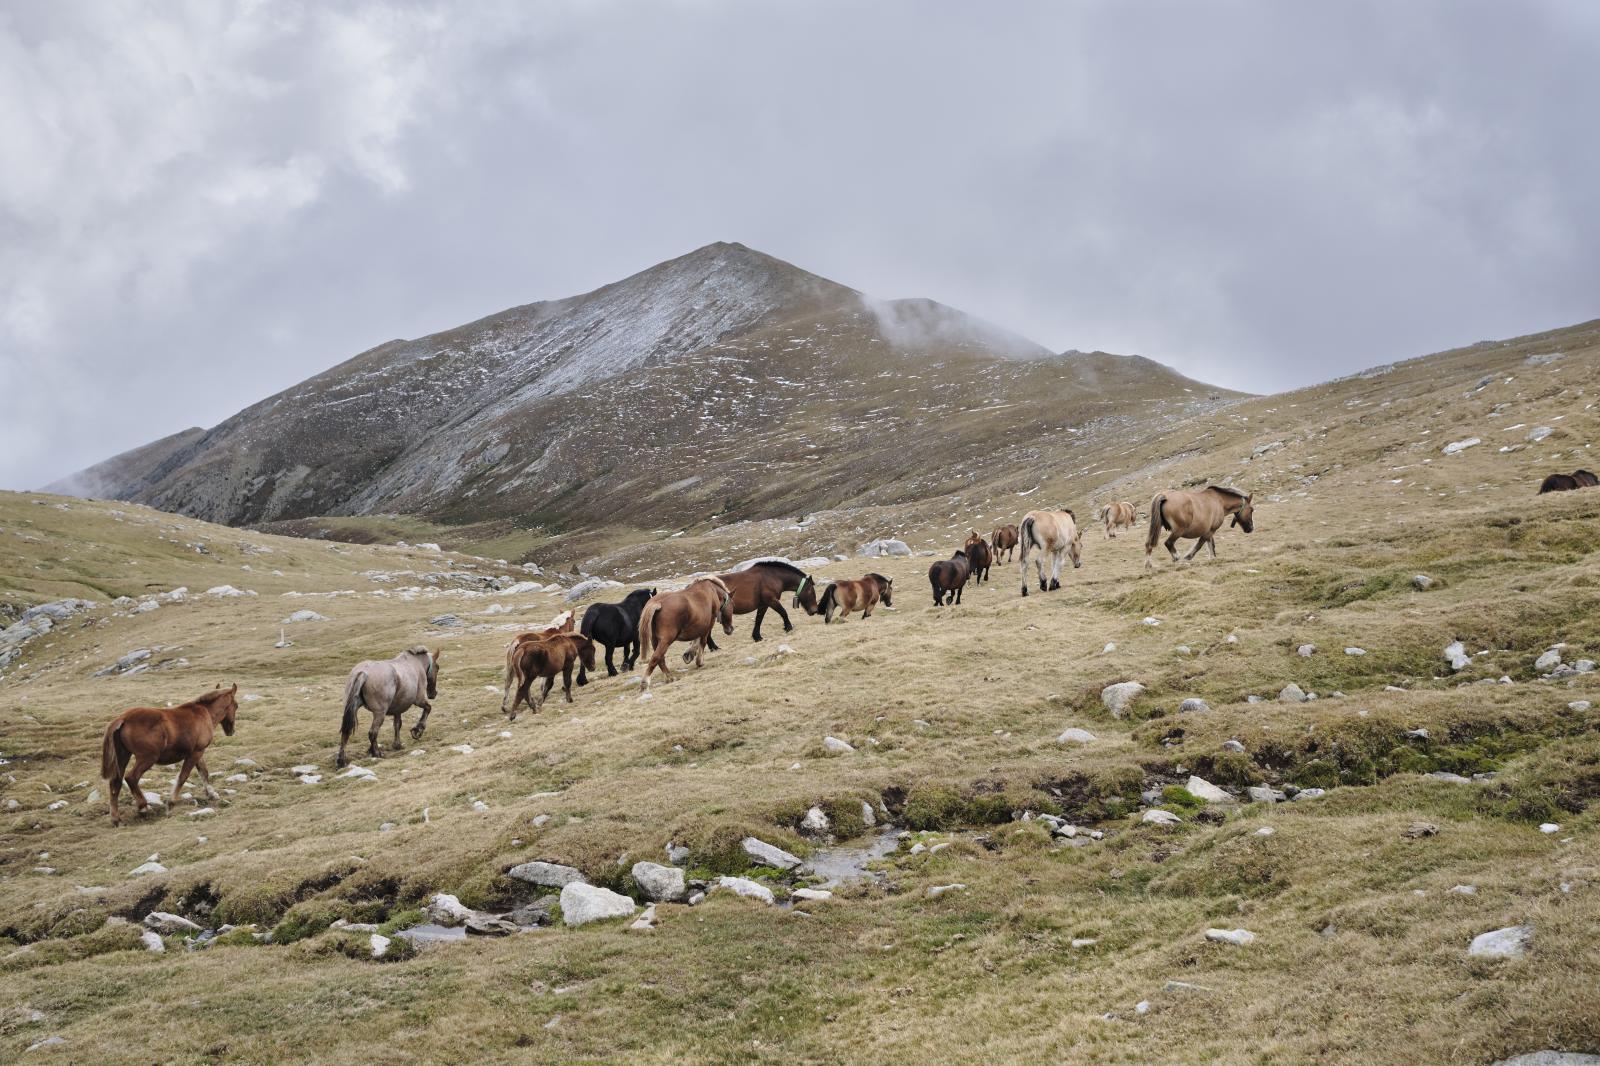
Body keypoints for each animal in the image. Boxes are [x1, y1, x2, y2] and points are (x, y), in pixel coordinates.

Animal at [100, 685, 235, 825]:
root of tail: (123, 718)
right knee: (131, 778)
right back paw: (143, 807)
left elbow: (204, 772)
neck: (204, 712)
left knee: (116, 782)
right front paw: (170, 805)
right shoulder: (195, 753)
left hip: (123, 757)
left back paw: (116, 819)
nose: (231, 730)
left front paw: (212, 794)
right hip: (148, 758)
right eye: (236, 706)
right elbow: (183, 777)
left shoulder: (198, 752)